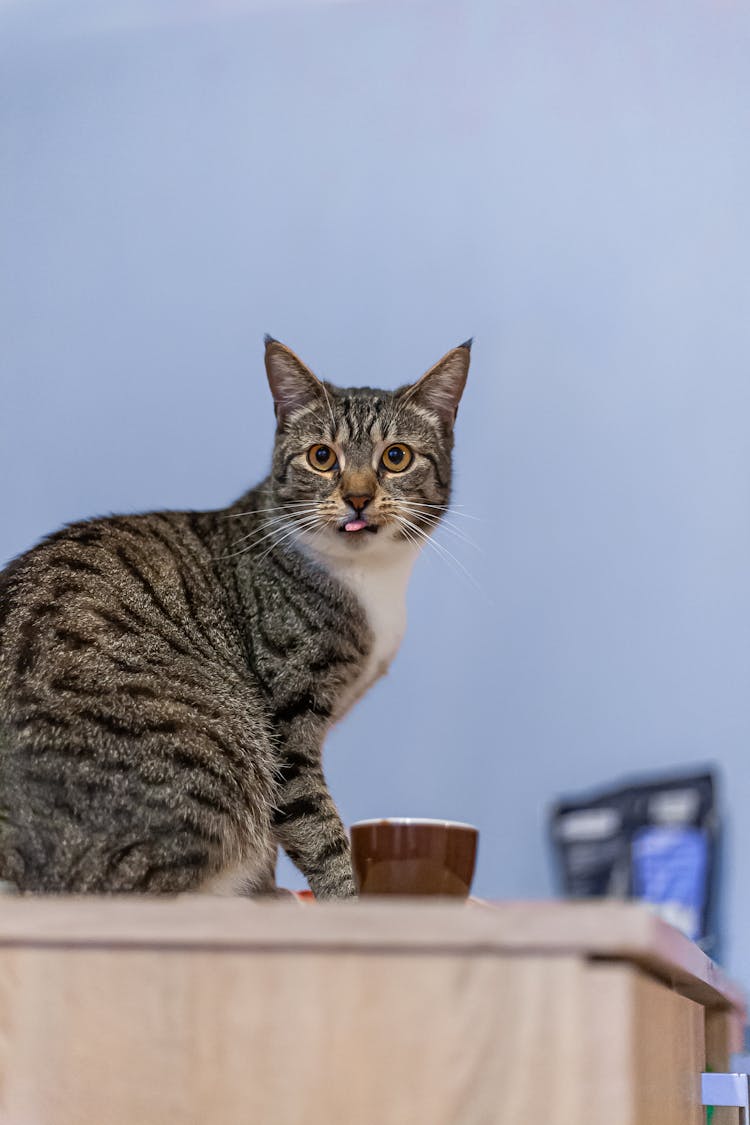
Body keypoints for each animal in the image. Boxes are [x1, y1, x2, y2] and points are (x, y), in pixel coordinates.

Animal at [0, 337, 470, 900]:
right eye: (322, 457)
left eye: (396, 457)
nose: (357, 497)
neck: (366, 577)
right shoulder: (287, 715)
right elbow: (315, 824)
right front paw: (344, 901)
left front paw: (271, 891)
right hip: (215, 748)